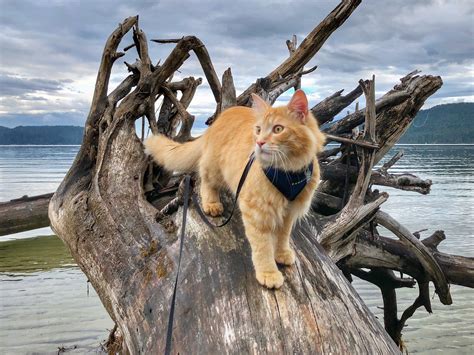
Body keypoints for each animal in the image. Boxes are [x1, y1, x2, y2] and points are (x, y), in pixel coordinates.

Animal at [144, 89, 326, 290]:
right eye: (258, 130)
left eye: (278, 129)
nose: (259, 142)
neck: (288, 173)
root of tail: (222, 116)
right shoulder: (256, 212)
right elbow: (263, 247)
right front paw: (268, 273)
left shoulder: (289, 212)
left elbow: (283, 236)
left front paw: (282, 253)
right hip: (214, 168)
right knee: (205, 181)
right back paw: (212, 204)